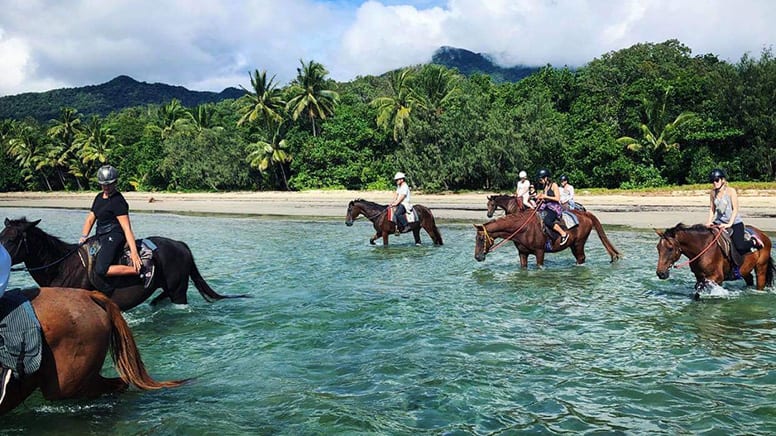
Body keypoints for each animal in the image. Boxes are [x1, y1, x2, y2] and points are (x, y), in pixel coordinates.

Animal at [472, 206, 620, 268]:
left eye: (481, 239)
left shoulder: (540, 252)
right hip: (574, 245)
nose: (477, 257)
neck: (523, 229)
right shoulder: (522, 253)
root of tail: (585, 214)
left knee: (581, 258)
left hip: (579, 244)